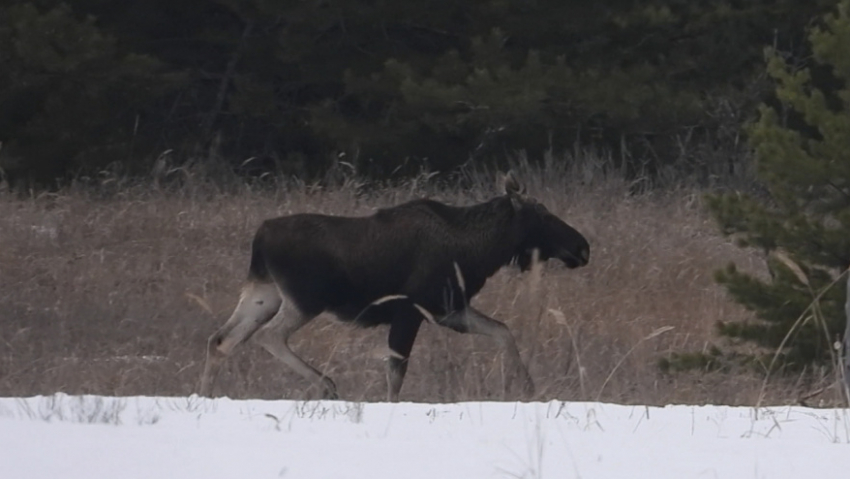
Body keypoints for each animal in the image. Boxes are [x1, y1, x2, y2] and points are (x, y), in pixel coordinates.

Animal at [197, 171, 588, 404]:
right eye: (542, 215)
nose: (583, 247)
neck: (478, 253)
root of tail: (260, 237)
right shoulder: (411, 311)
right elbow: (395, 375)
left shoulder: (448, 310)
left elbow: (503, 331)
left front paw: (528, 388)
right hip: (304, 299)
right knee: (267, 336)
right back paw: (326, 384)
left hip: (264, 293)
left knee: (221, 339)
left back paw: (206, 395)